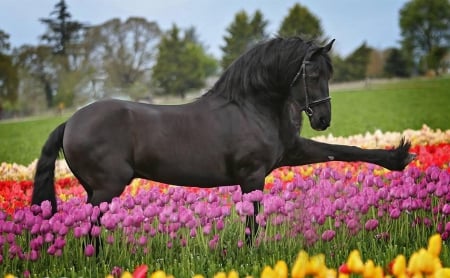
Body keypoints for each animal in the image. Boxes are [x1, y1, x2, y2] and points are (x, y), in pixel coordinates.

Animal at [33, 37, 416, 241]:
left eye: (330, 73)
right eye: (312, 74)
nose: (323, 119)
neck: (250, 106)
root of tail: (71, 121)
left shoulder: (292, 153)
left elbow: (342, 149)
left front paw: (398, 157)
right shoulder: (253, 176)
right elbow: (252, 222)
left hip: (94, 189)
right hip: (107, 187)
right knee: (91, 228)